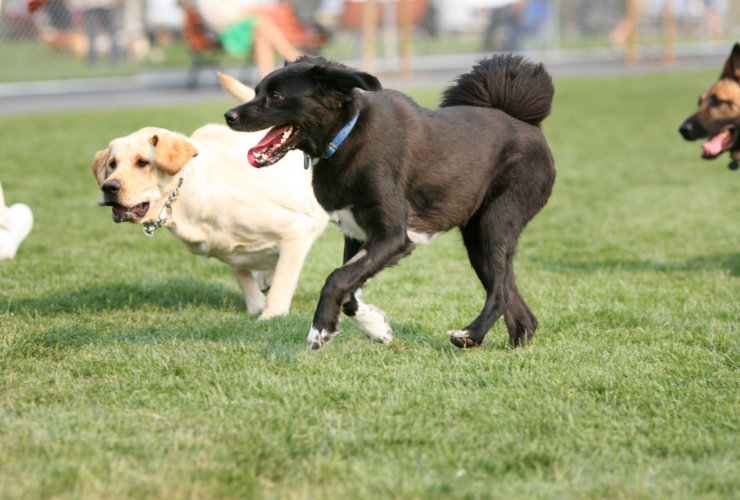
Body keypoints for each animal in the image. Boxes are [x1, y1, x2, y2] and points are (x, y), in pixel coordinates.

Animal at [225, 54, 556, 350]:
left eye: (276, 96)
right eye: (256, 91)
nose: (229, 116)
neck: (346, 135)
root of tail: (528, 123)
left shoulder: (393, 235)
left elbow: (336, 279)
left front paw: (320, 330)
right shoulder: (358, 235)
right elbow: (350, 291)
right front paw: (376, 328)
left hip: (496, 222)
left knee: (500, 294)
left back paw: (471, 335)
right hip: (478, 240)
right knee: (520, 310)